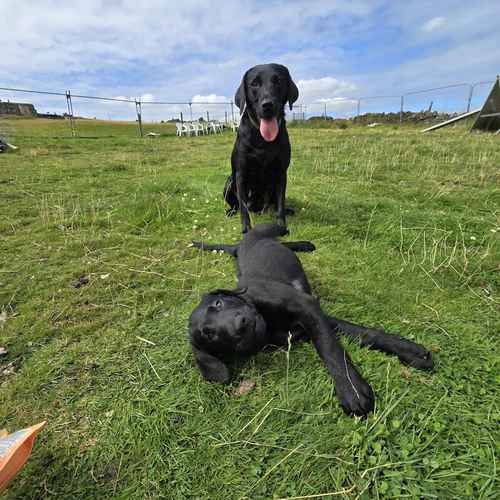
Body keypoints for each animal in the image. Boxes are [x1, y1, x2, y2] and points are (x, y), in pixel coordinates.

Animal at [188, 225, 434, 416]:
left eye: (218, 303)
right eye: (209, 334)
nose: (241, 324)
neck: (269, 323)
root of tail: (239, 247)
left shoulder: (308, 307)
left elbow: (332, 347)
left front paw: (352, 389)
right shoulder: (307, 324)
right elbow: (348, 339)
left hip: (262, 231)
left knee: (279, 232)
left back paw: (303, 243)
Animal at [223, 63, 296, 233]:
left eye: (278, 81)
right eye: (254, 84)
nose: (267, 105)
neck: (262, 139)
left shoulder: (281, 172)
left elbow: (281, 202)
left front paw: (281, 224)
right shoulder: (240, 173)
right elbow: (243, 206)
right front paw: (246, 227)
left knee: (273, 203)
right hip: (229, 182)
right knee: (237, 205)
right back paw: (231, 211)